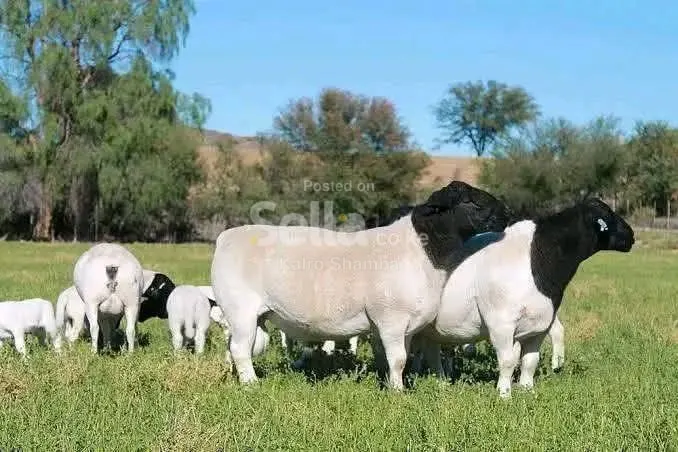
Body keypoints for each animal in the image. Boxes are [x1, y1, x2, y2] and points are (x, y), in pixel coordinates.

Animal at [210, 180, 512, 389]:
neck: (422, 251)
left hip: (255, 316)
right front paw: (398, 393)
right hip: (239, 309)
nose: (508, 214)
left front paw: (393, 384)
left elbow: (400, 358)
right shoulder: (390, 318)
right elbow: (398, 359)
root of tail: (225, 237)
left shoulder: (404, 324)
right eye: (471, 202)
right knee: (240, 349)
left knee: (241, 348)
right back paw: (251, 385)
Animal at [414, 197, 634, 397]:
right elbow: (507, 361)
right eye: (607, 214)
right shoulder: (500, 323)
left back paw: (440, 383)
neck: (537, 260)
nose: (632, 235)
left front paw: (527, 390)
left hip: (431, 329)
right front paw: (504, 394)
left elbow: (530, 361)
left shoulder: (539, 325)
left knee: (431, 353)